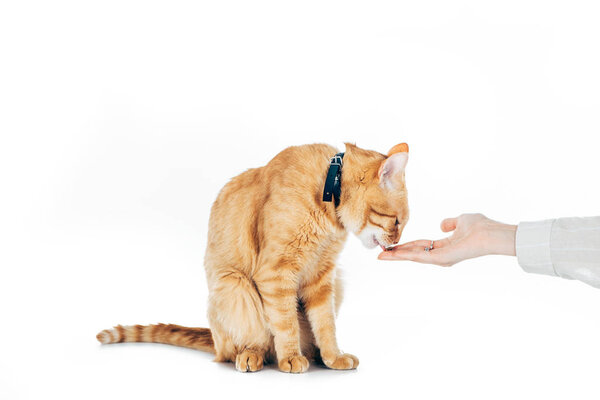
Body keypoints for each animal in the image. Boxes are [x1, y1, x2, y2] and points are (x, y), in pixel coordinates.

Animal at [97, 142, 408, 374]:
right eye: (396, 222)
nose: (396, 243)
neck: (328, 190)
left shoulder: (323, 277)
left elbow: (325, 324)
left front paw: (332, 356)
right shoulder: (276, 273)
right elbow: (285, 323)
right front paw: (290, 357)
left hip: (336, 282)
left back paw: (316, 355)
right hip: (235, 286)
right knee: (247, 345)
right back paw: (252, 357)